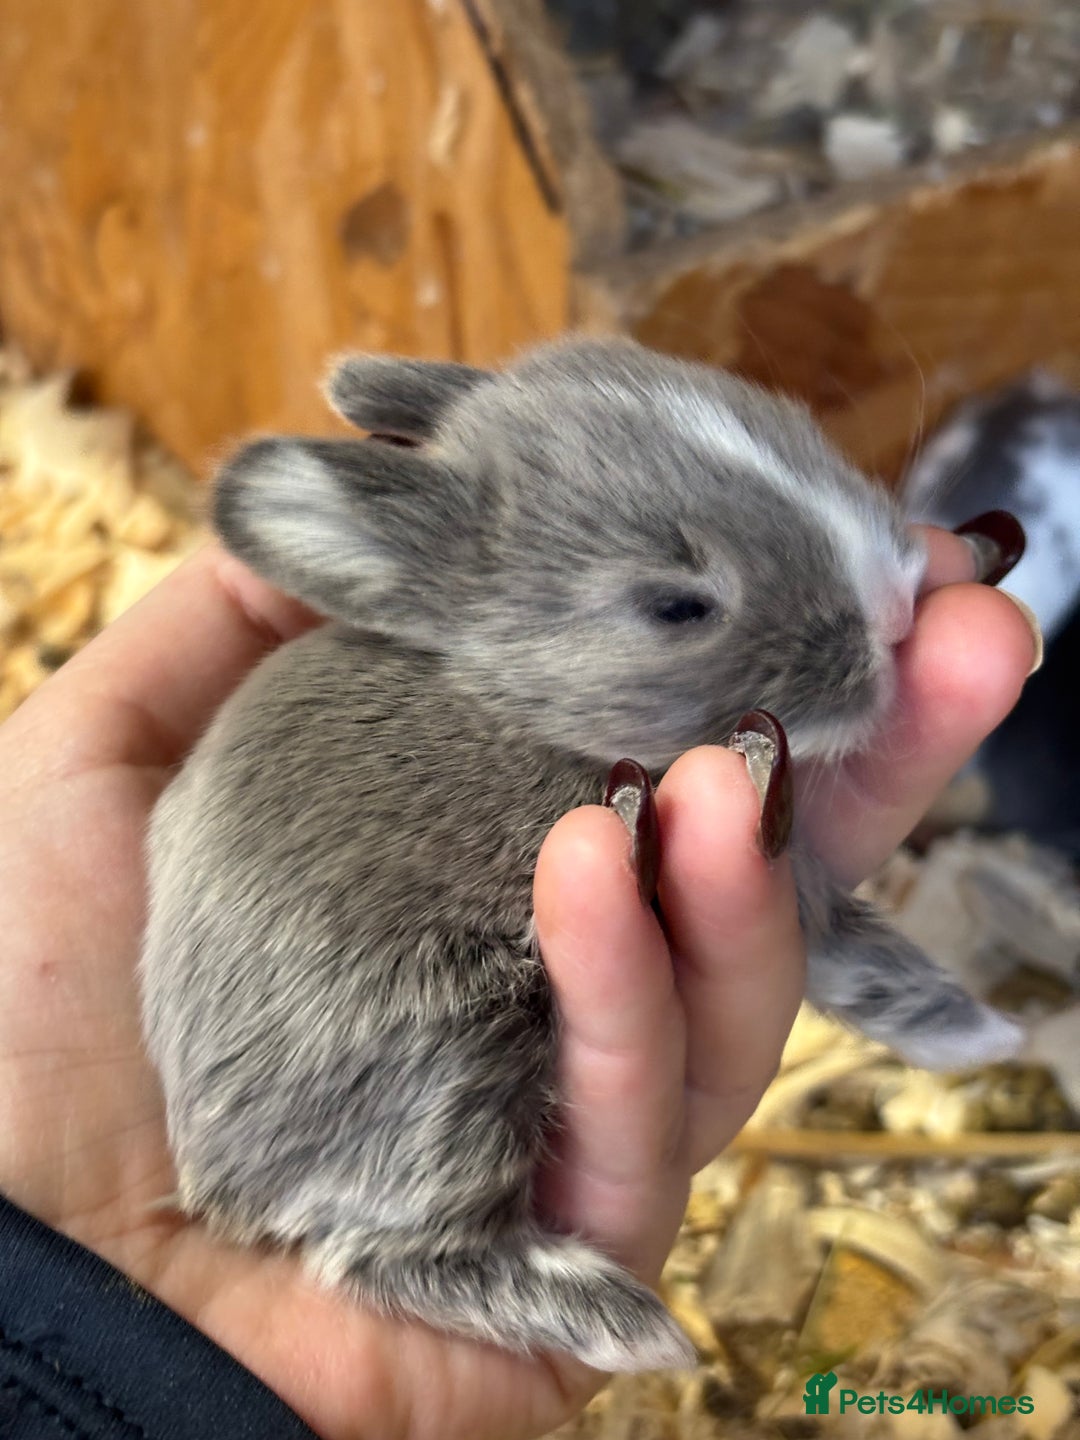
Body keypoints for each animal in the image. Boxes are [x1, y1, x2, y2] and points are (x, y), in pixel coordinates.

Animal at [140, 335, 1023, 1374]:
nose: (891, 608)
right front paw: (983, 1035)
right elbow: (872, 963)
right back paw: (634, 1329)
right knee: (384, 1257)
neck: (526, 706)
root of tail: (216, 1180)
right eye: (677, 607)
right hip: (456, 1065)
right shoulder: (792, 872)